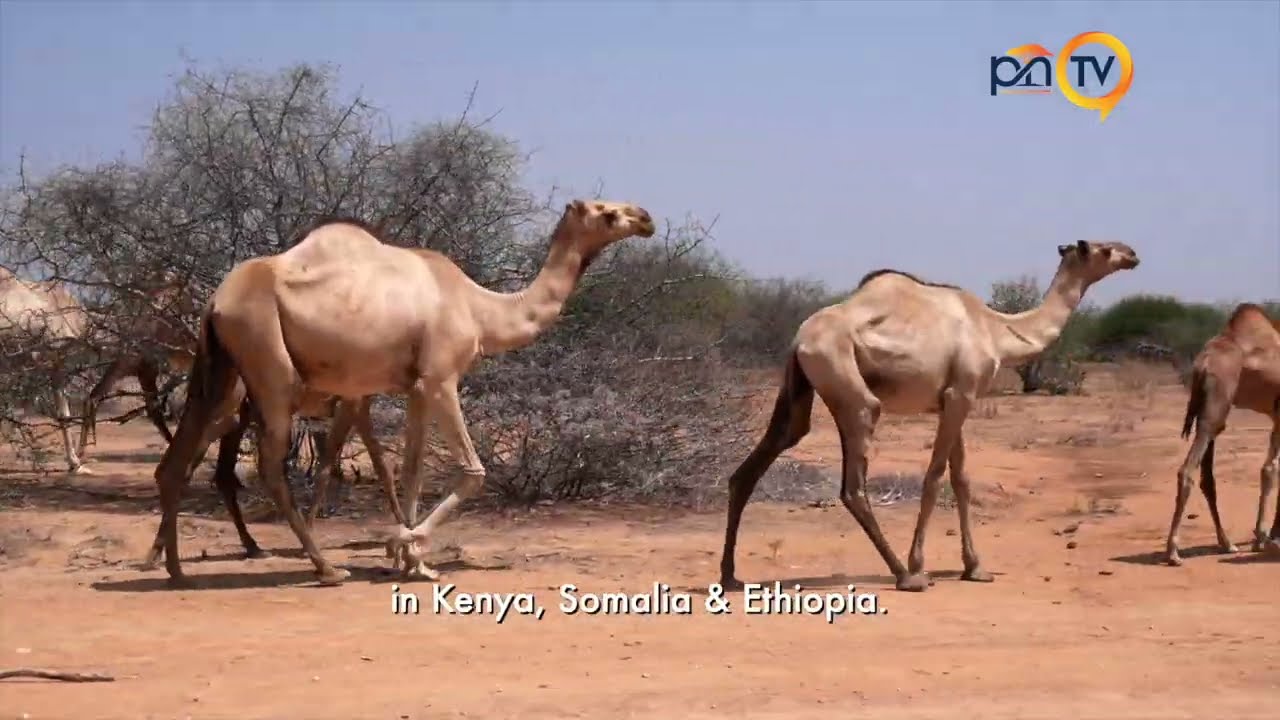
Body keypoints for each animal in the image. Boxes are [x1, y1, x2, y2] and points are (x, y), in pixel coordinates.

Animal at [148, 199, 656, 586]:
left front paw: (415, 562)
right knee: (270, 465)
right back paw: (325, 568)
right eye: (608, 212)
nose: (646, 218)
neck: (480, 308)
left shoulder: (413, 388)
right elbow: (472, 471)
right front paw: (402, 545)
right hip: (268, 363)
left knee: (178, 457)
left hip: (221, 371)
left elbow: (411, 470)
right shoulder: (440, 378)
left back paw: (174, 570)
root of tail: (216, 301)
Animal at [718, 239, 1140, 592]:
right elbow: (935, 477)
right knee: (853, 484)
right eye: (1104, 249)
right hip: (851, 390)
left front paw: (976, 567)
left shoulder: (954, 400)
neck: (996, 329)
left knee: (761, 459)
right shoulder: (960, 394)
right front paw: (920, 562)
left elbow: (962, 479)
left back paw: (730, 575)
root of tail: (799, 340)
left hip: (800, 388)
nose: (1132, 254)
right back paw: (906, 576)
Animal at [1166, 303, 1280, 565]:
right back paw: (1173, 552)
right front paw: (1268, 537)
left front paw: (1261, 537)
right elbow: (1272, 468)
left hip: (1209, 411)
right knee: (1186, 471)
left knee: (1207, 479)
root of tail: (1203, 364)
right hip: (1216, 407)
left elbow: (1268, 469)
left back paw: (1227, 543)